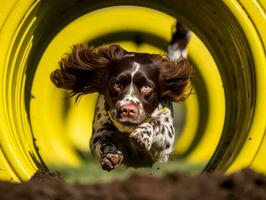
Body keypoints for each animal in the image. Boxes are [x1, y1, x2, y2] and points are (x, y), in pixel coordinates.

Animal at [50, 23, 191, 170]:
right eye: (116, 84)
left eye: (147, 86)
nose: (128, 110)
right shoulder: (99, 133)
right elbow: (103, 141)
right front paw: (111, 156)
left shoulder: (167, 135)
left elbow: (155, 123)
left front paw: (141, 135)